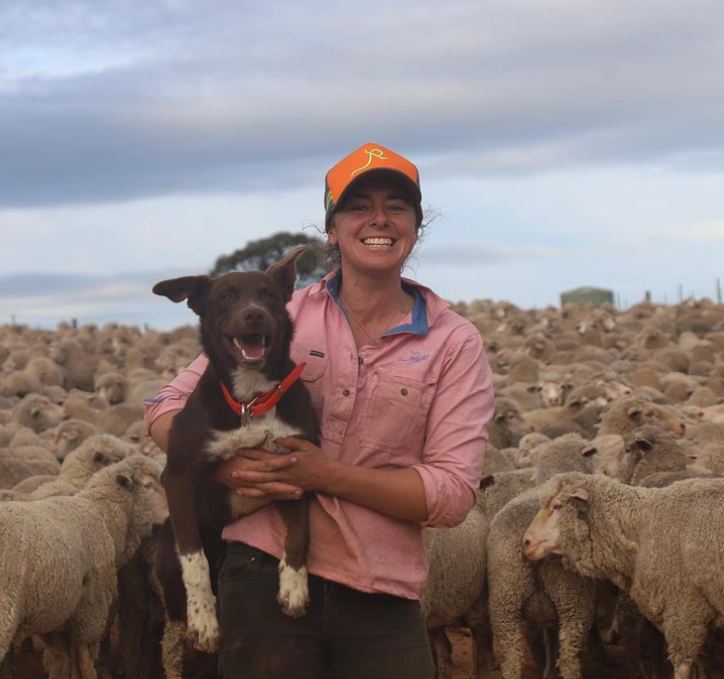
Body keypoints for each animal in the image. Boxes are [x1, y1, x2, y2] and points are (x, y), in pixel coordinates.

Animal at [0, 454, 167, 676]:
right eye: (149, 485)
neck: (101, 515)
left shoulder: (57, 615)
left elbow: (62, 662)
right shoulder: (90, 612)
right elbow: (86, 663)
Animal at [153, 248, 316, 652]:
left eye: (268, 294)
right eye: (226, 296)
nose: (254, 313)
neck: (251, 399)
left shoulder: (295, 470)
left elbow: (300, 534)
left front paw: (294, 589)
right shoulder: (177, 477)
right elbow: (193, 560)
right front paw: (204, 621)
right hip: (166, 553)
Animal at [524, 472, 724, 679]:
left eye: (557, 506)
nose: (526, 542)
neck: (642, 525)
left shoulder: (684, 611)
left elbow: (683, 668)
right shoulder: (700, 613)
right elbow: (702, 663)